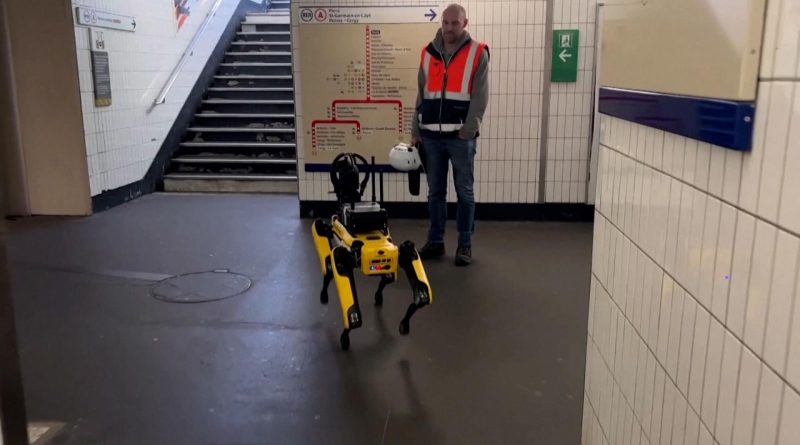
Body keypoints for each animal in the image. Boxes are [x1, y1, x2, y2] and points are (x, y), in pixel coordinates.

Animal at [312, 147, 434, 348]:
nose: (346, 161)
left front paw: (404, 322)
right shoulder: (342, 248)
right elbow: (335, 261)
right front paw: (347, 332)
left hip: (397, 252)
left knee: (403, 261)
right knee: (329, 258)